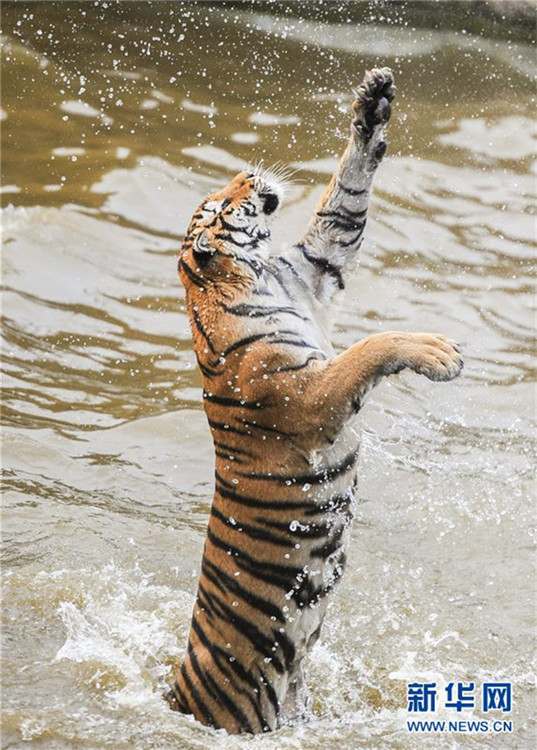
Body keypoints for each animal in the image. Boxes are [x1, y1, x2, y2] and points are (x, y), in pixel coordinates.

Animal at [166, 67, 463, 734]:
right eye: (220, 206)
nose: (245, 172)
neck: (253, 277)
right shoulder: (307, 394)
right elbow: (370, 347)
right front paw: (438, 352)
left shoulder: (317, 264)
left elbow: (345, 199)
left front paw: (373, 104)